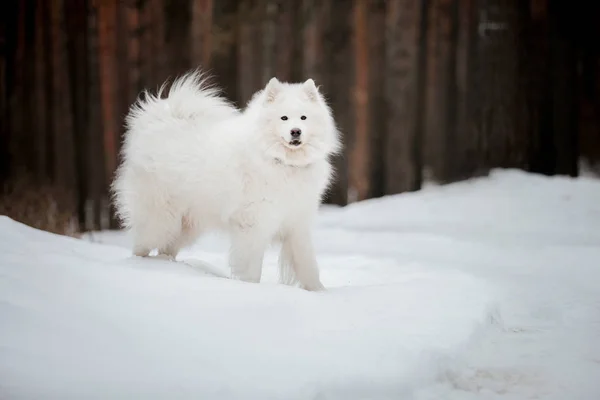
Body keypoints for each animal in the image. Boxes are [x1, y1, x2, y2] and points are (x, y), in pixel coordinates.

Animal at [110, 71, 340, 290]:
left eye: (303, 118)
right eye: (283, 118)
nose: (295, 132)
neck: (283, 162)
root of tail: (159, 121)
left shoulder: (297, 225)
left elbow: (308, 266)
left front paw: (319, 292)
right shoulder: (253, 226)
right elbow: (252, 267)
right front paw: (251, 288)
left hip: (185, 225)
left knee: (166, 249)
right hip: (159, 220)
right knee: (141, 245)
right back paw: (142, 266)